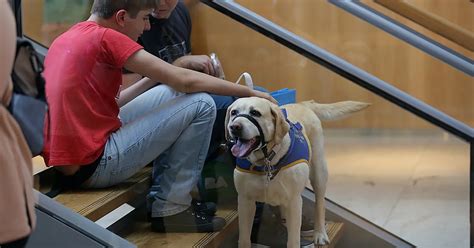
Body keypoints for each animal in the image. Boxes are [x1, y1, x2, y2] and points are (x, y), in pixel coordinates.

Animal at [226, 98, 370, 247]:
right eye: (233, 112)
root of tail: (302, 103)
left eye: (255, 113)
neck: (266, 161)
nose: (235, 127)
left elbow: (293, 240)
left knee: (320, 203)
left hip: (319, 172)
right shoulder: (245, 201)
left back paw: (320, 233)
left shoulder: (294, 202)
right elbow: (244, 238)